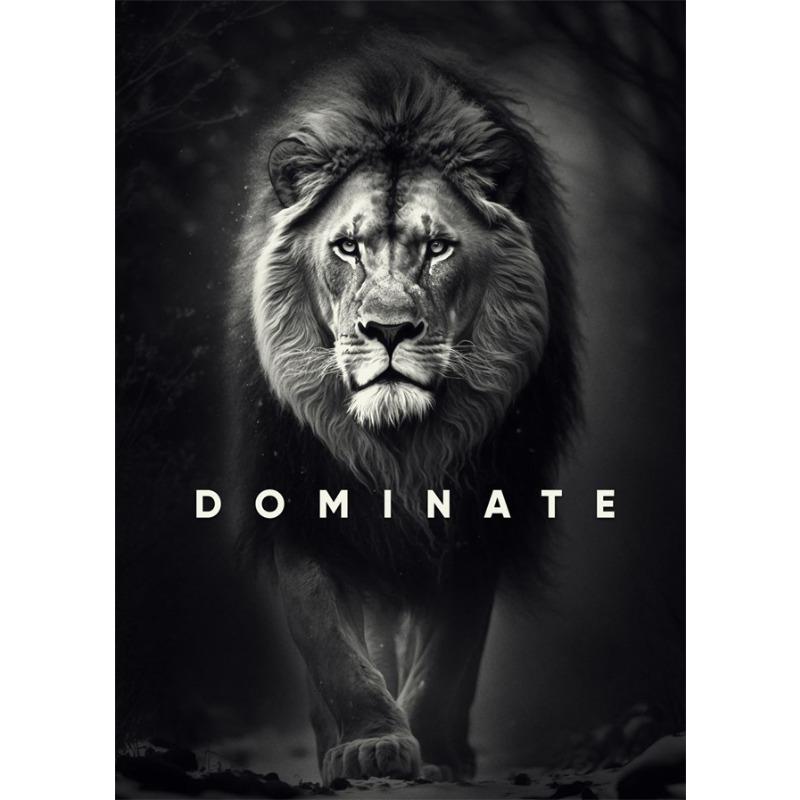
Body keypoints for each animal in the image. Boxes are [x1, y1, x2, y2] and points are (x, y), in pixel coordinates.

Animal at [226, 37, 580, 784]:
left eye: (438, 246)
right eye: (347, 246)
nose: (388, 330)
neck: (400, 446)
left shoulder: (480, 512)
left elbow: (450, 652)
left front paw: (436, 753)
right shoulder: (299, 497)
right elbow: (330, 642)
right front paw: (370, 745)